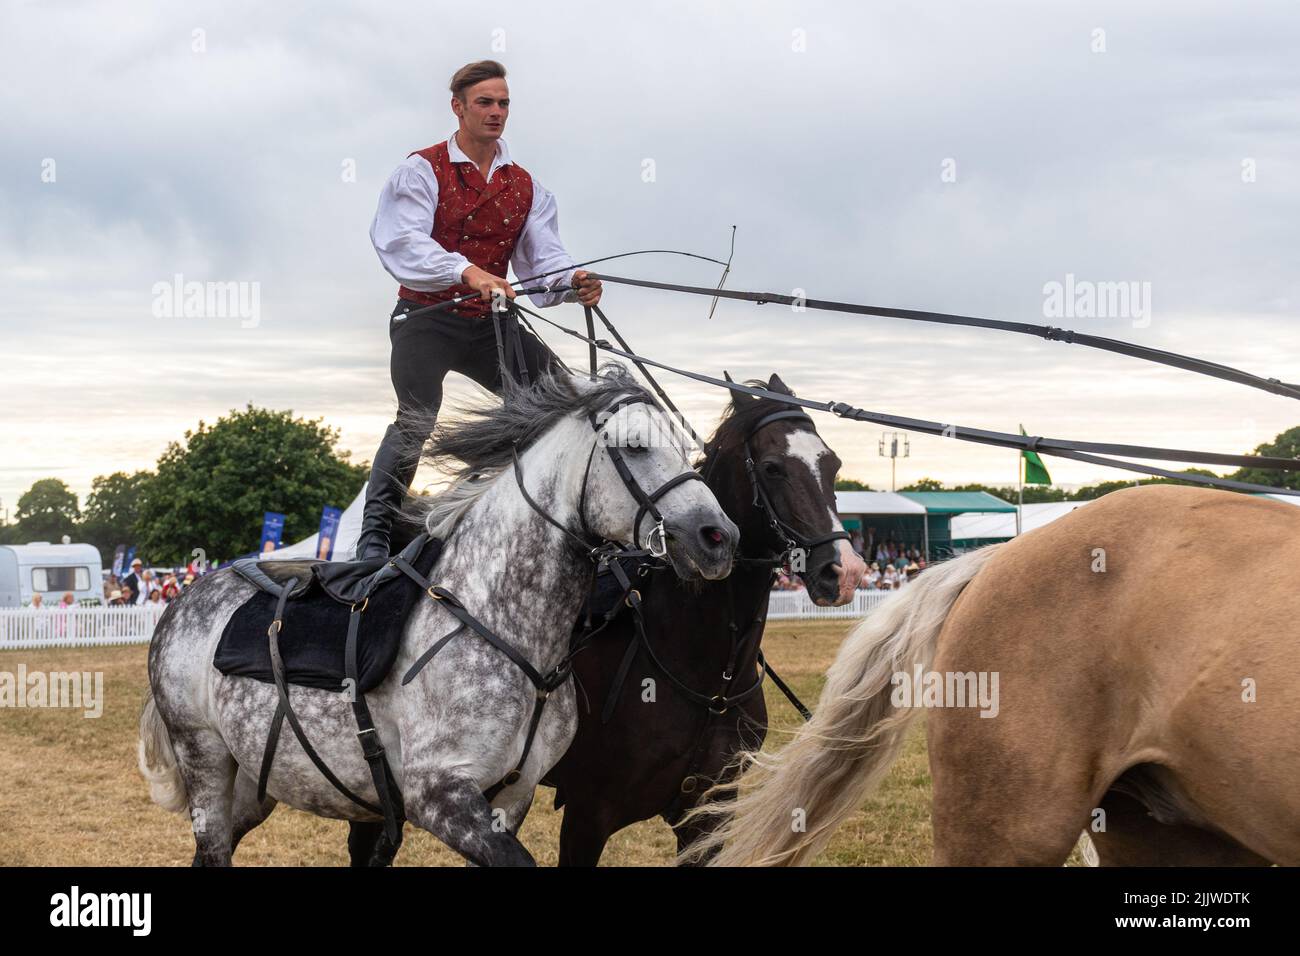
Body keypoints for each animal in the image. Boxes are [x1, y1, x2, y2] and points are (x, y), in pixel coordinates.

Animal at [351, 369, 868, 863]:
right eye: (773, 467)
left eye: (834, 465)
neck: (703, 673)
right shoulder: (588, 813)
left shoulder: (707, 815)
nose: (843, 571)